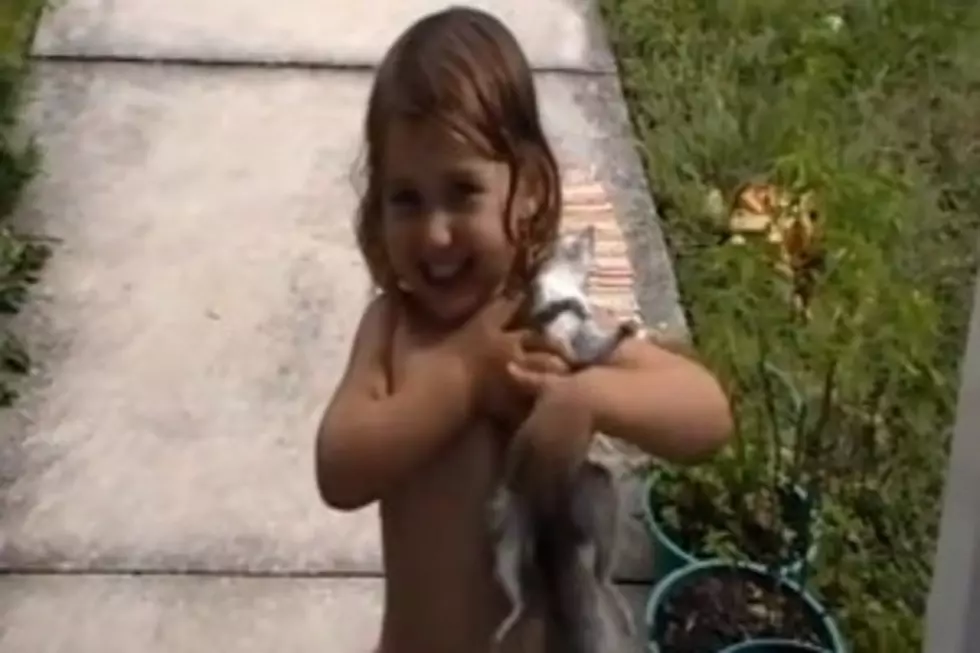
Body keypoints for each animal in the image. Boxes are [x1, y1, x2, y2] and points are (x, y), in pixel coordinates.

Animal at [488, 225, 636, 652]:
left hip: (594, 491)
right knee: (510, 574)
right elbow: (567, 345)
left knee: (602, 563)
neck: (566, 286)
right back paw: (510, 617)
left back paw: (612, 594)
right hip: (508, 517)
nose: (590, 229)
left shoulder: (583, 328)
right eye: (568, 236)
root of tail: (553, 519)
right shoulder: (544, 318)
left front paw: (620, 330)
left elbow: (593, 348)